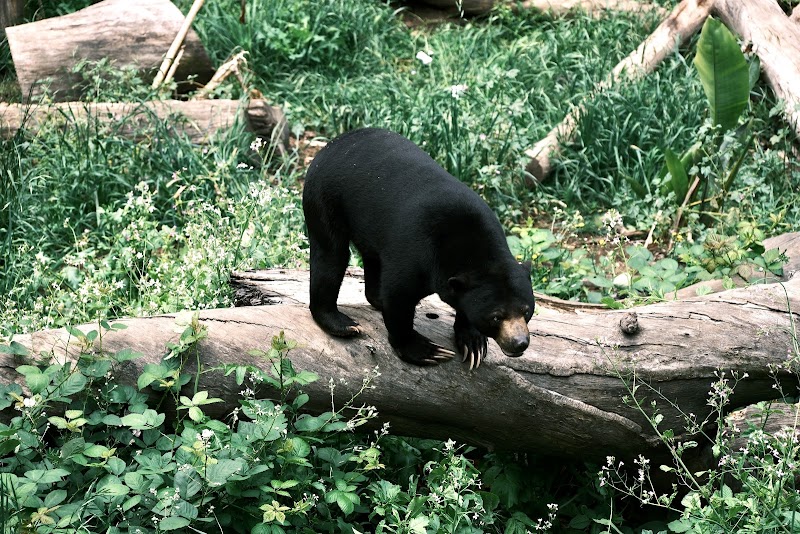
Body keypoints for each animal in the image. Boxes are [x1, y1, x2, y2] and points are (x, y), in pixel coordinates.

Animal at [302, 128, 535, 369]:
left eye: (527, 311)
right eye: (496, 317)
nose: (520, 343)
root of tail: (333, 143)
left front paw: (474, 345)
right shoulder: (415, 253)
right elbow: (398, 296)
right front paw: (428, 351)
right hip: (324, 198)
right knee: (331, 255)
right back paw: (343, 324)